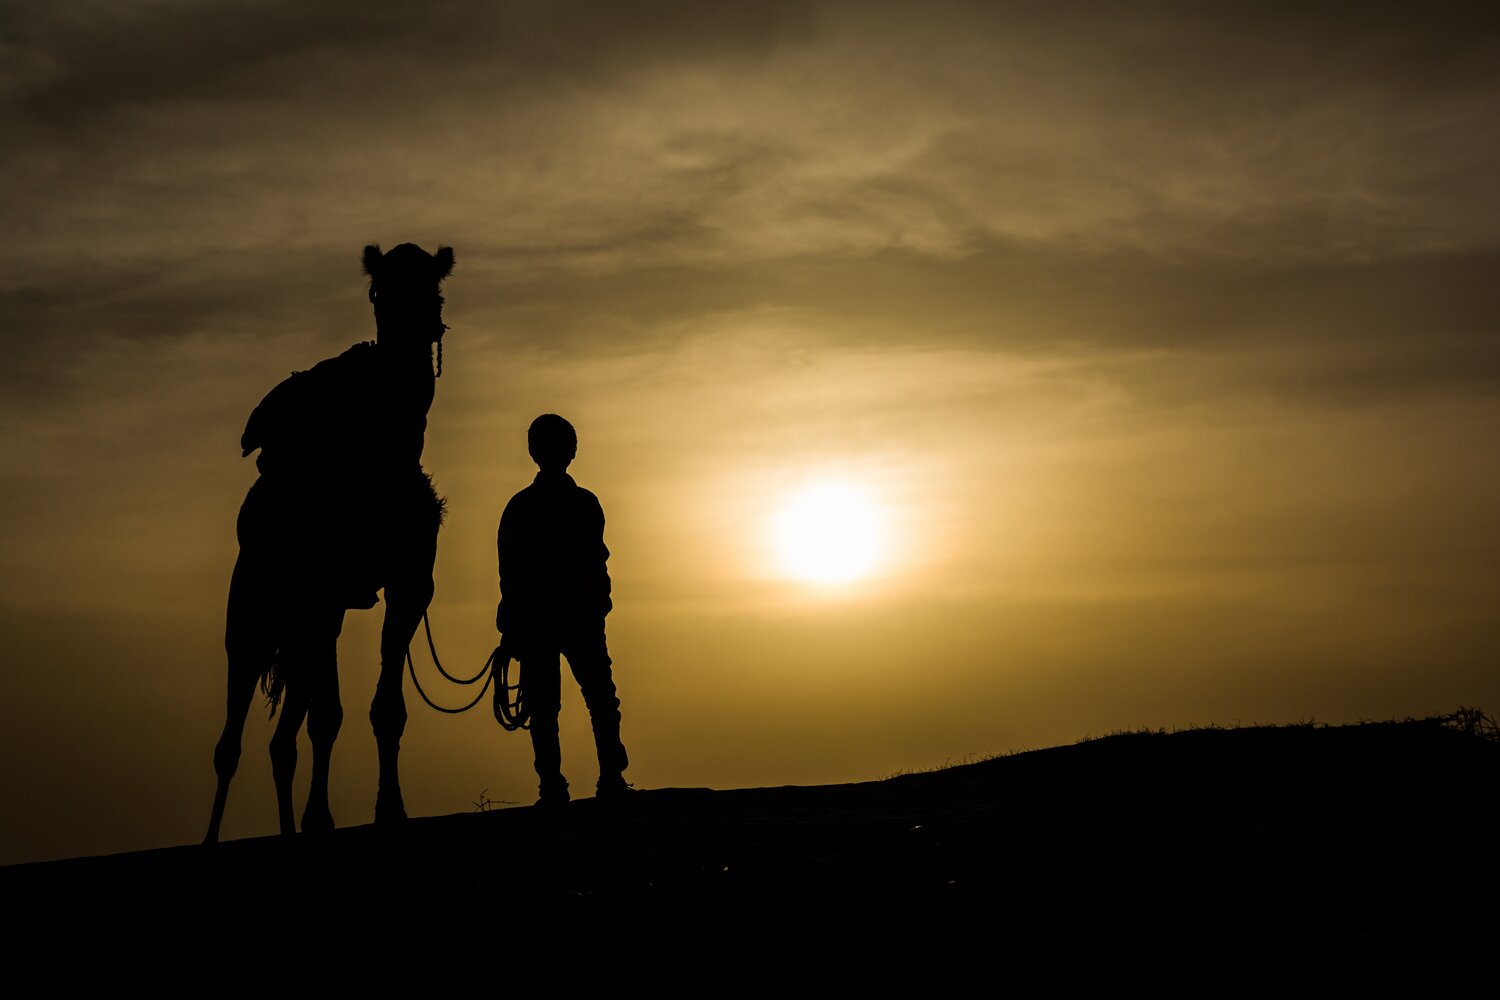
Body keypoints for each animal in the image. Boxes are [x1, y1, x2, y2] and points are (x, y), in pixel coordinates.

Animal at [205, 243, 454, 844]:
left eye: (433, 289)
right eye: (378, 293)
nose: (414, 327)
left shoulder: (410, 585)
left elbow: (386, 708)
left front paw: (391, 809)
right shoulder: (323, 595)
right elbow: (327, 717)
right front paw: (321, 818)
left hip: (303, 623)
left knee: (280, 741)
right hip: (254, 609)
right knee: (232, 736)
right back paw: (211, 837)